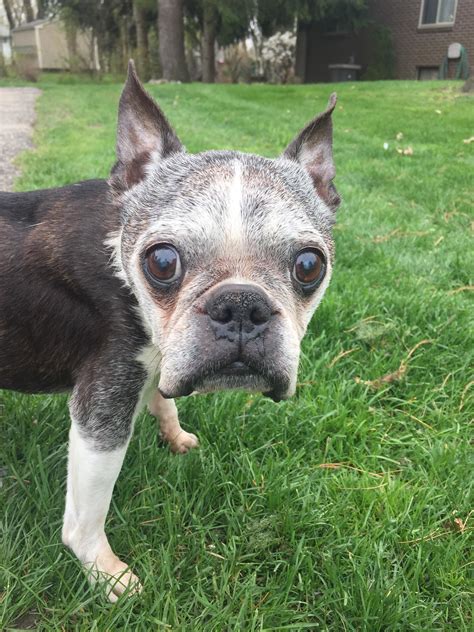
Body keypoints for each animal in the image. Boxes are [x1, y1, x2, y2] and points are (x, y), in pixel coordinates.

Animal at [0, 61, 340, 600]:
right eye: (162, 261)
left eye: (310, 265)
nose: (240, 304)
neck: (118, 252)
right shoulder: (105, 405)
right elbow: (85, 517)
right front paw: (106, 573)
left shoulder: (159, 354)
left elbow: (164, 397)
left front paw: (175, 434)